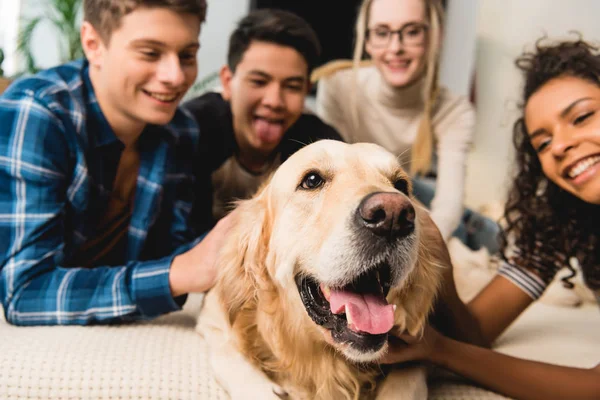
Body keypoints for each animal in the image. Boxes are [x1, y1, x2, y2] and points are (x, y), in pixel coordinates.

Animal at [197, 139, 446, 398]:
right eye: (312, 180)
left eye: (401, 185)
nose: (394, 216)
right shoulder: (213, 318)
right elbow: (233, 361)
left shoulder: (417, 349)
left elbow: (406, 381)